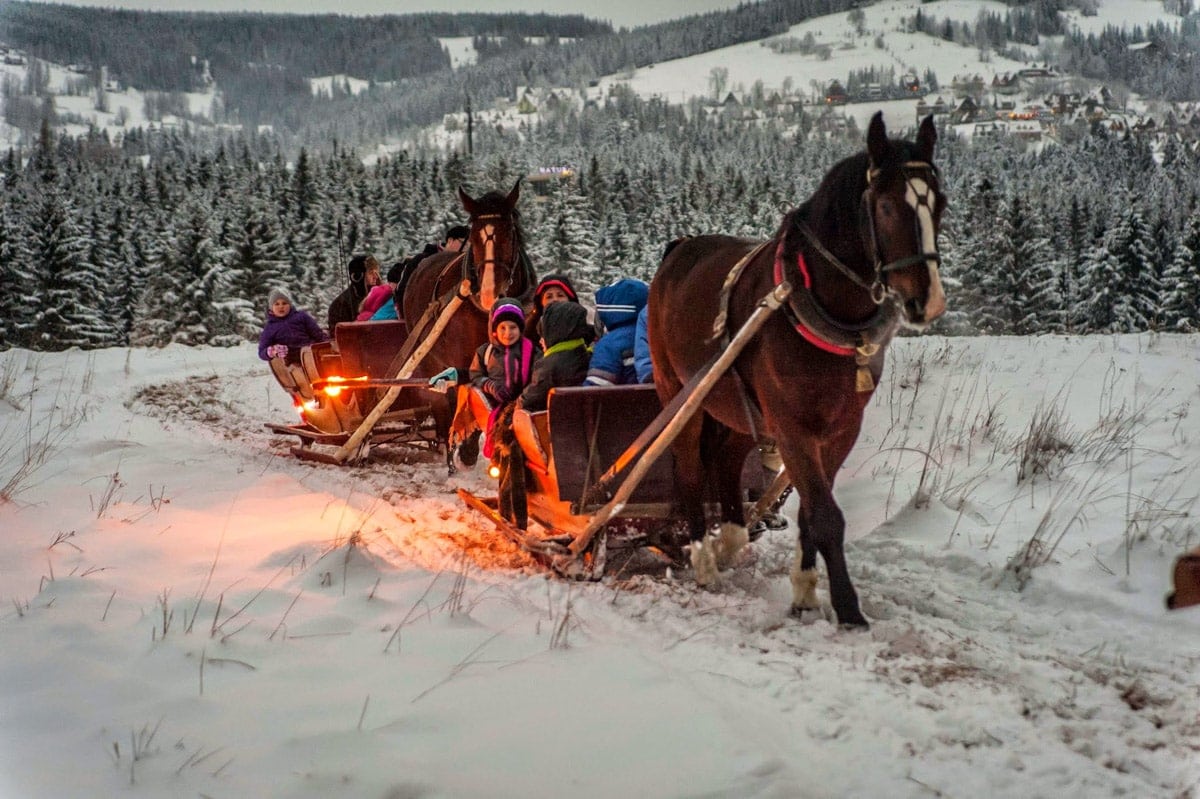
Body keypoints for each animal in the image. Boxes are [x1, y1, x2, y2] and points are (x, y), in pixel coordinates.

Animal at [403, 179, 535, 463]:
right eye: (473, 238)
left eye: (510, 234)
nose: (489, 294)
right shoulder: (465, 359)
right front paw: (468, 450)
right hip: (428, 355)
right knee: (445, 399)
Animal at [648, 112, 945, 623]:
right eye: (887, 207)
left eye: (939, 204)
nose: (927, 301)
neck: (819, 306)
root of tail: (679, 249)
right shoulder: (792, 427)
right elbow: (826, 515)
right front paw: (848, 608)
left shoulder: (840, 428)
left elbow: (811, 508)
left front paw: (805, 590)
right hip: (681, 393)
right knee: (688, 467)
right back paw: (703, 558)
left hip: (739, 405)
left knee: (725, 459)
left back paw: (729, 539)